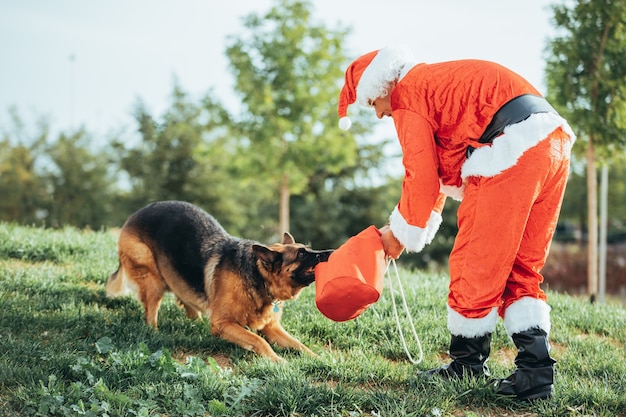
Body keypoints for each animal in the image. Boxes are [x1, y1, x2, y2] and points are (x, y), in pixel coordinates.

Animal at [106, 200, 332, 360]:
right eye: (301, 254)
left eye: (308, 249)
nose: (331, 252)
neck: (258, 277)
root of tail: (135, 214)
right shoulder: (223, 324)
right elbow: (259, 340)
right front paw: (278, 361)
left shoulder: (272, 328)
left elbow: (299, 344)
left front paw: (318, 359)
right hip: (152, 279)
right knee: (151, 313)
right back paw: (155, 332)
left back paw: (195, 323)